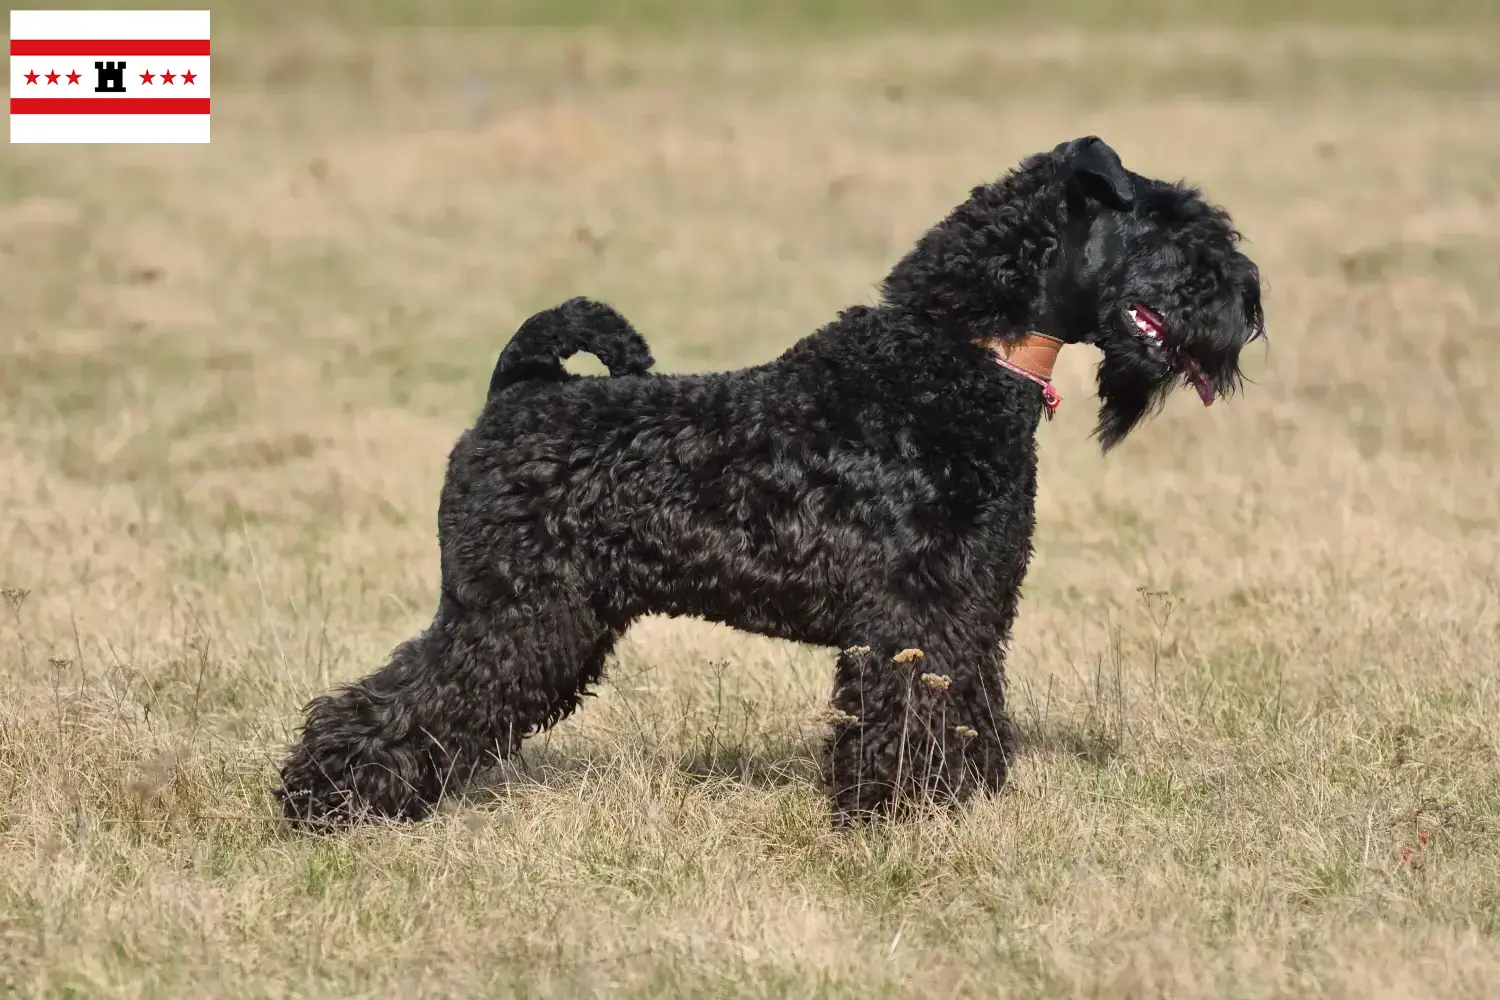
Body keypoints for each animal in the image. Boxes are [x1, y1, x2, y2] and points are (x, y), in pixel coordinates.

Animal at [276, 137, 1260, 833]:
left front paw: (962, 803)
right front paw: (896, 816)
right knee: (398, 699)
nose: (1249, 303)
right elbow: (907, 714)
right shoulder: (912, 614)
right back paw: (325, 801)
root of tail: (519, 388)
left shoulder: (972, 607)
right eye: (1176, 229)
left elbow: (968, 703)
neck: (958, 358)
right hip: (512, 614)